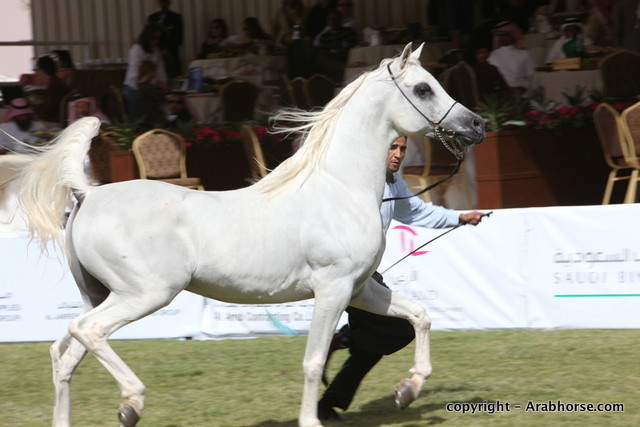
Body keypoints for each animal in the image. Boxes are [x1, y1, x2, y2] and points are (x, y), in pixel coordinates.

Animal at [17, 43, 484, 427]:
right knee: (88, 331)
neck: (340, 187)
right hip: (145, 293)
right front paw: (311, 420)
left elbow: (419, 315)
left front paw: (410, 388)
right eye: (423, 89)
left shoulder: (360, 288)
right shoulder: (332, 289)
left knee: (64, 353)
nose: (476, 125)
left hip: (99, 293)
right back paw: (131, 402)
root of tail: (87, 194)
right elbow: (314, 360)